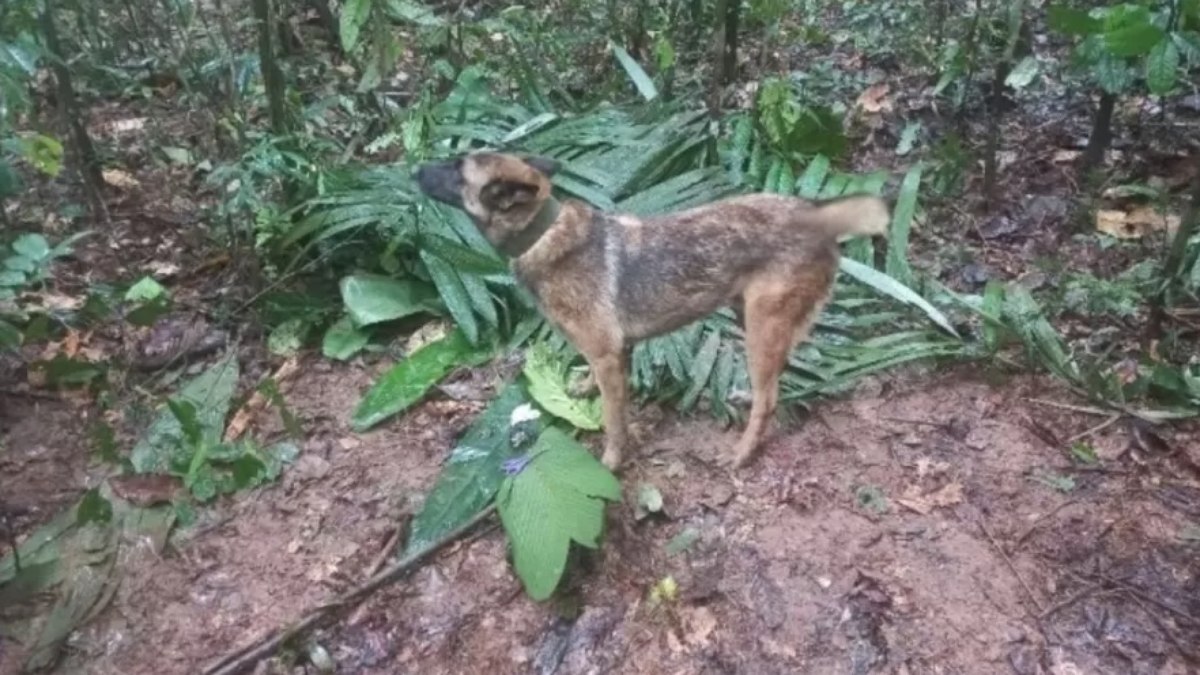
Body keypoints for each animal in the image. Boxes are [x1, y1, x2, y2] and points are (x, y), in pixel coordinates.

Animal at [415, 152, 892, 468]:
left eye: (456, 168)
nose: (414, 168)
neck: (542, 233)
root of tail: (815, 214)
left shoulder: (608, 355)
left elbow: (613, 421)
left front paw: (611, 462)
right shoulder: (613, 352)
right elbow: (595, 386)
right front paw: (583, 388)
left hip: (761, 323)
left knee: (769, 397)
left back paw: (742, 452)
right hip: (751, 316)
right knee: (776, 376)